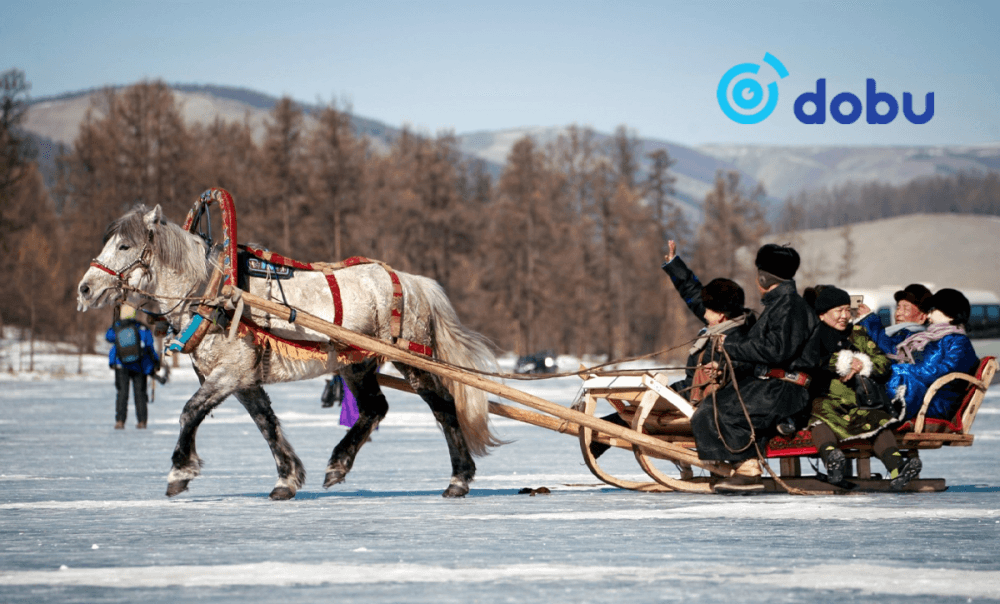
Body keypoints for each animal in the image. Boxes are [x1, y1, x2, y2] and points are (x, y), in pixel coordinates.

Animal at [74, 201, 504, 498]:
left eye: (124, 245)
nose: (85, 289)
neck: (213, 291)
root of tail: (413, 281)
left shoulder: (228, 373)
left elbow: (189, 412)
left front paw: (180, 471)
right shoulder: (244, 378)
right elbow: (267, 424)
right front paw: (288, 477)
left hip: (410, 359)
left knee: (443, 406)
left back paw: (459, 478)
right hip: (357, 363)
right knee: (374, 408)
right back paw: (338, 464)